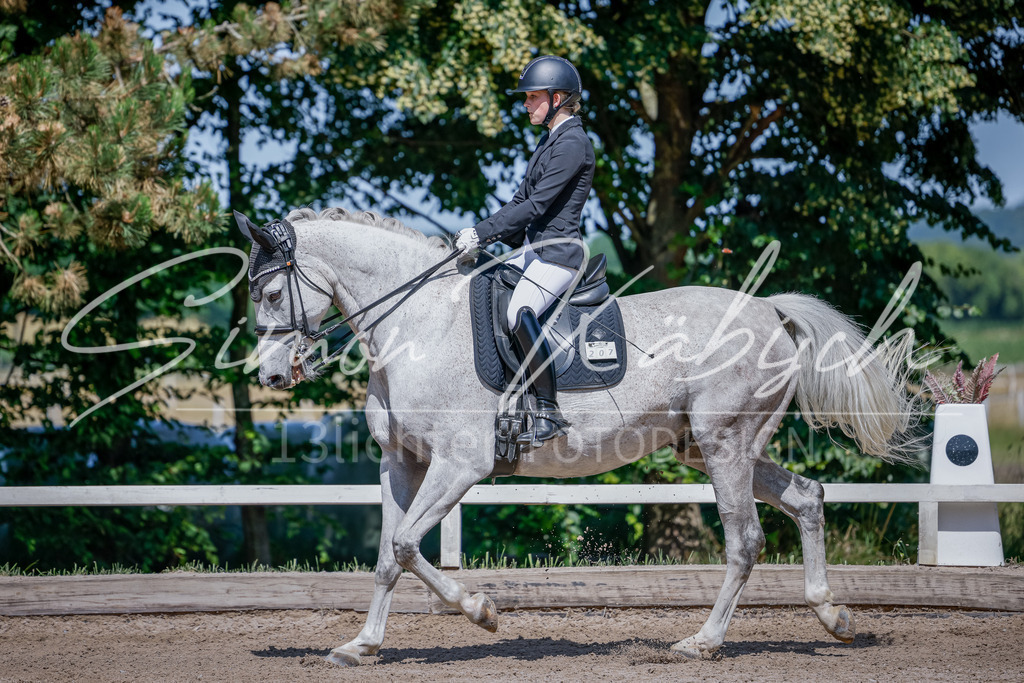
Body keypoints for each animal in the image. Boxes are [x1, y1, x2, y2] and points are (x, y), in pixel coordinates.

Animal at [233, 206, 919, 665]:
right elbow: (385, 556)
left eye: (270, 291)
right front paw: (362, 645)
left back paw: (702, 642)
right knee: (806, 498)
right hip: (712, 447)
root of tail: (769, 310)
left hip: (725, 445)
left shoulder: (459, 464)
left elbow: (404, 544)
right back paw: (833, 616)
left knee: (745, 539)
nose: (270, 376)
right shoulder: (400, 462)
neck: (417, 324)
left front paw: (483, 613)